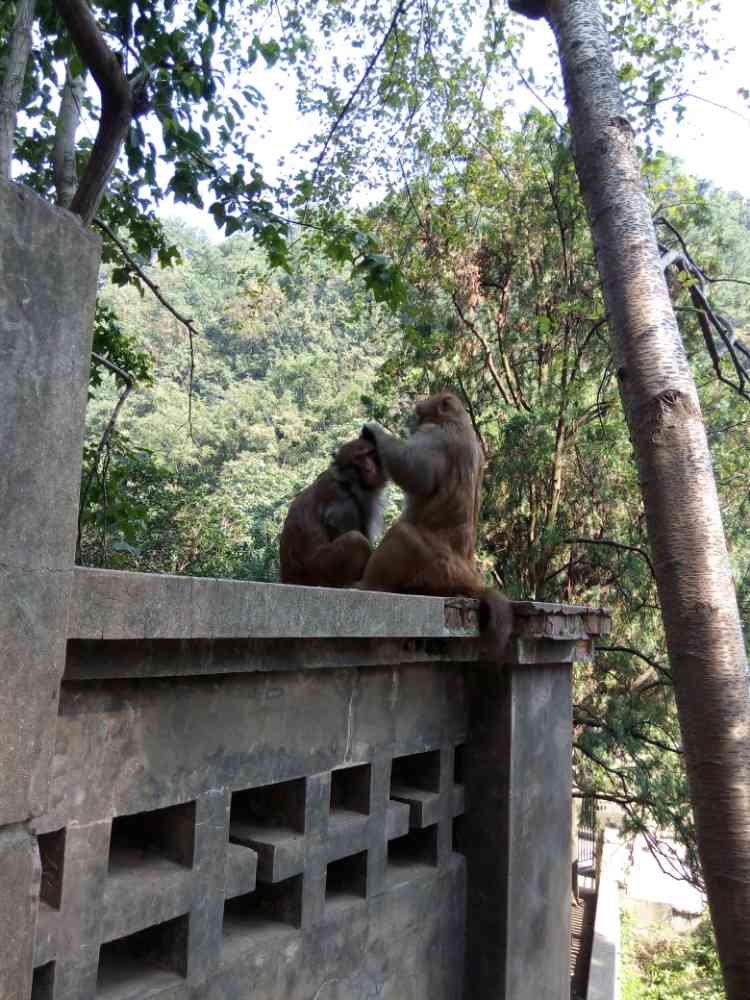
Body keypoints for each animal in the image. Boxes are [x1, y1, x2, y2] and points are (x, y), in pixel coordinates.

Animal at [280, 436, 388, 584]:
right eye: (358, 458)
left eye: (370, 454)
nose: (369, 467)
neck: (347, 481)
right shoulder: (343, 504)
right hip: (320, 570)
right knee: (355, 539)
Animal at [356, 390, 512, 664]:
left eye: (420, 412)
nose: (414, 418)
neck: (460, 422)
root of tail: (469, 574)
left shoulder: (434, 435)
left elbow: (413, 469)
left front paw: (375, 431)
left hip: (435, 565)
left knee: (403, 535)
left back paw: (366, 584)